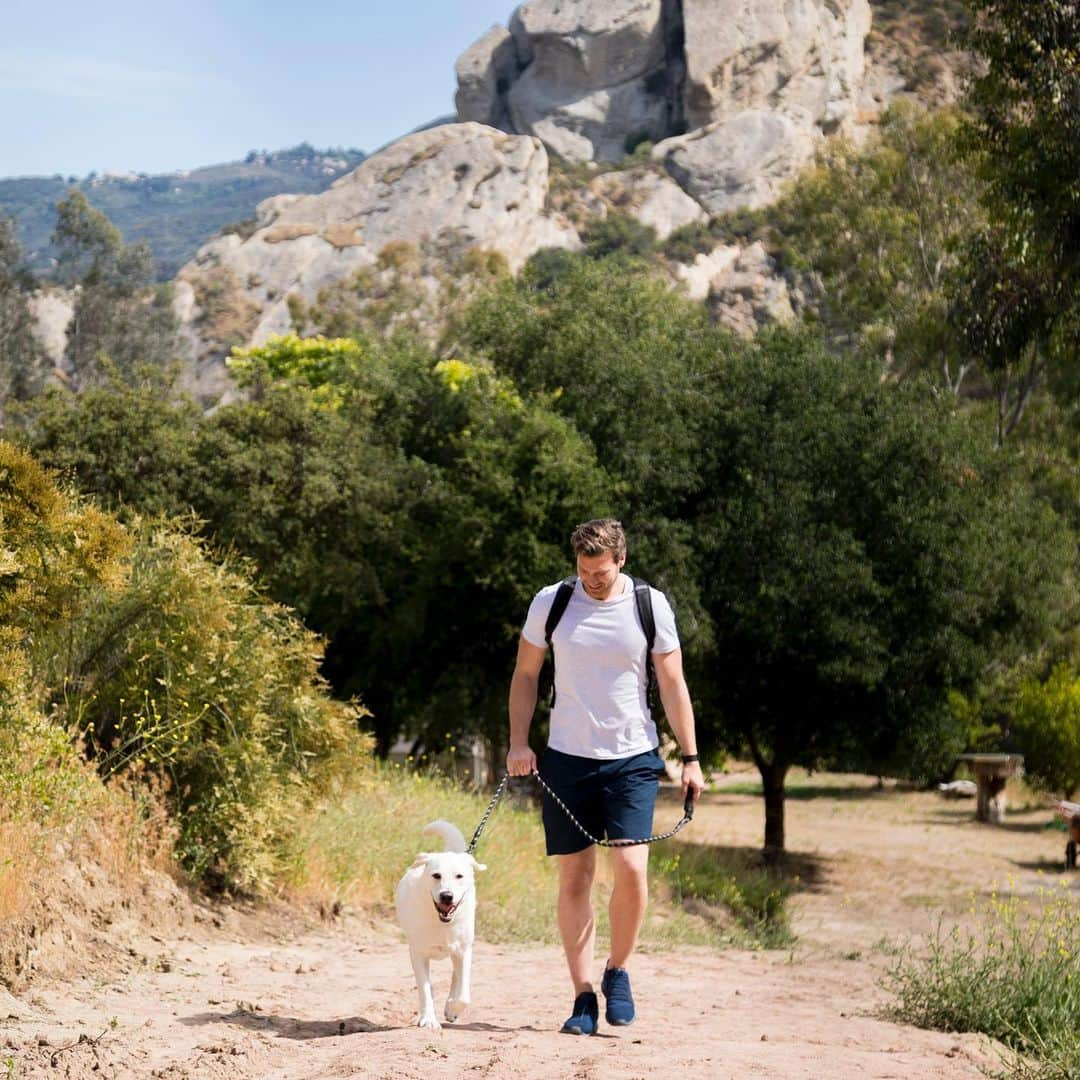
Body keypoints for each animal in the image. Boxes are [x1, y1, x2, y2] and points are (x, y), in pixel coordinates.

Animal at [395, 816, 488, 1028]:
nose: (447, 896)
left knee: (457, 976)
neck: (441, 923)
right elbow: (424, 989)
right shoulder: (418, 953)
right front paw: (428, 1019)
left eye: (459, 876)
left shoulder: (463, 950)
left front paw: (452, 1008)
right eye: (436, 875)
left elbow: (463, 994)